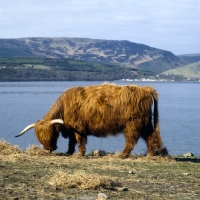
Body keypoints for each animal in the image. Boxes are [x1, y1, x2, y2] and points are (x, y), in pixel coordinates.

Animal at [15, 83, 166, 158]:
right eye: (40, 138)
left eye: (52, 134)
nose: (49, 149)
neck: (64, 106)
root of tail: (146, 89)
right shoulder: (71, 128)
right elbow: (72, 141)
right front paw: (69, 152)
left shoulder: (79, 127)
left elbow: (79, 140)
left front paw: (80, 154)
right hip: (145, 123)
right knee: (150, 137)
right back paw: (149, 154)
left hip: (133, 123)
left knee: (132, 139)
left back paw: (122, 155)